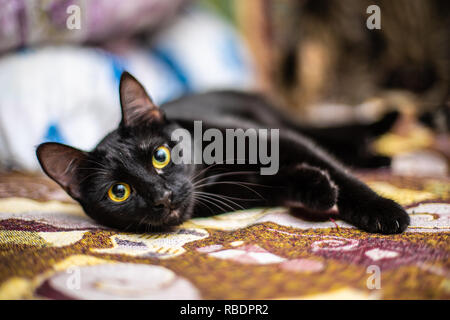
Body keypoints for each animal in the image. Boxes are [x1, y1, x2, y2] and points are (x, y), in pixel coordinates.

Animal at [34, 71, 408, 234]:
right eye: (119, 192)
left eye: (160, 156)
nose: (162, 197)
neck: (213, 173)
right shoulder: (251, 190)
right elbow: (289, 179)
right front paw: (318, 188)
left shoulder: (280, 140)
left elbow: (340, 172)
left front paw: (383, 211)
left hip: (278, 122)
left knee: (328, 137)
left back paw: (377, 151)